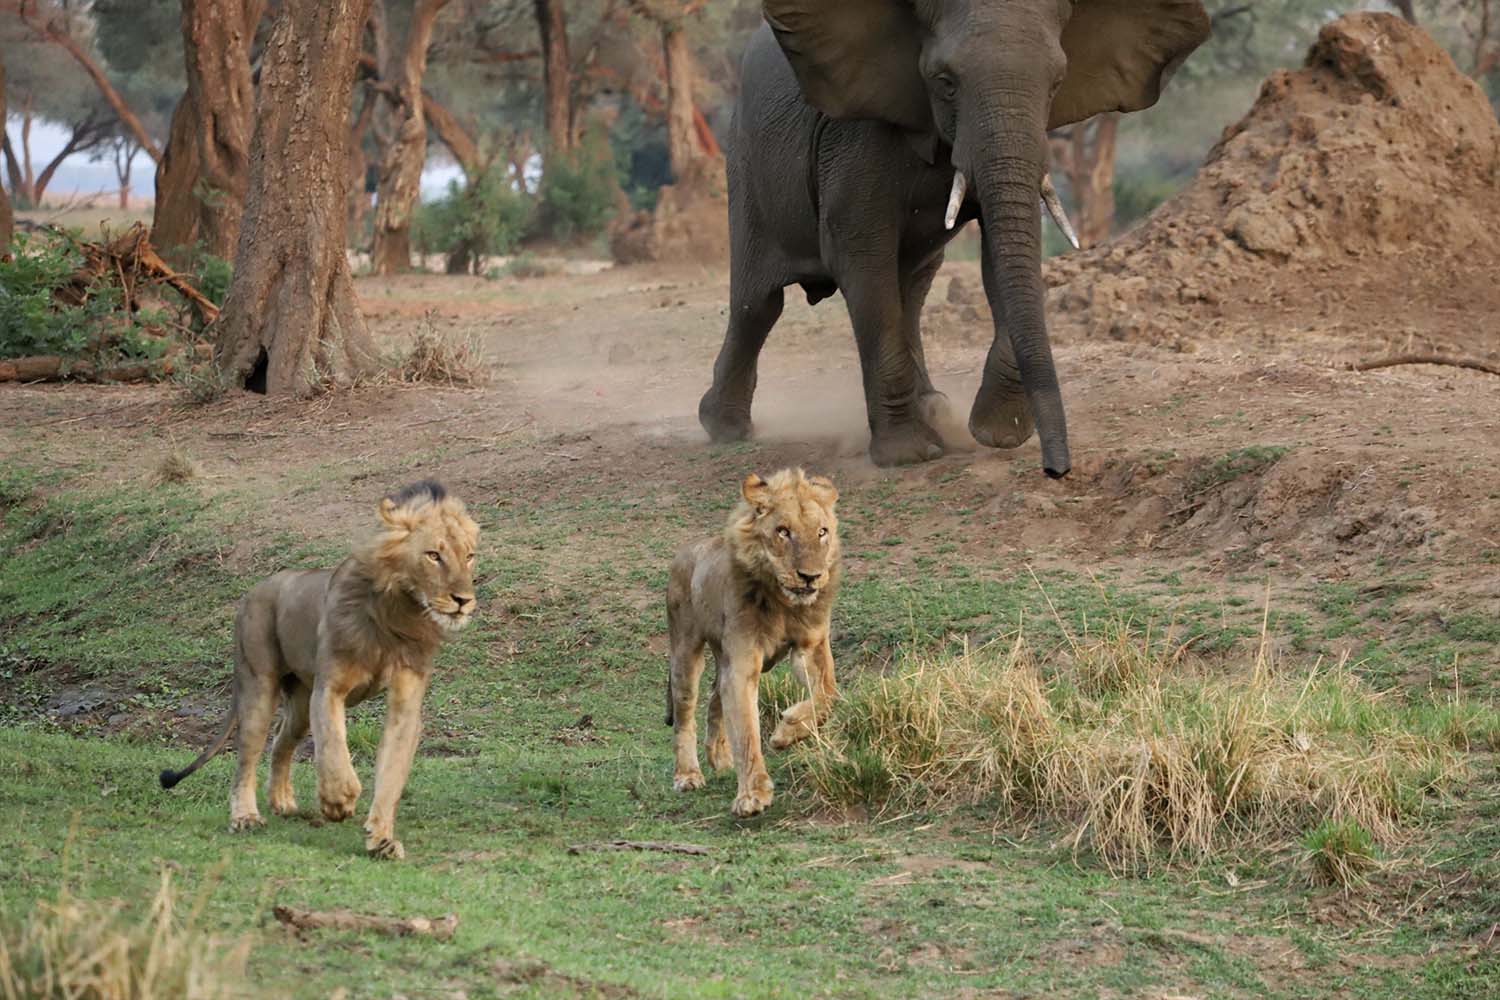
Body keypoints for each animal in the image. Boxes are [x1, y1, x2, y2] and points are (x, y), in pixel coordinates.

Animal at [697, 0, 1211, 477]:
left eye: (1057, 83)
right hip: (745, 167)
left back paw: (935, 408)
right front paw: (909, 455)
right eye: (945, 81)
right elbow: (858, 253)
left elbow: (999, 256)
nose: (1057, 469)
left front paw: (996, 433)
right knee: (759, 304)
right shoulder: (853, 136)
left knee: (912, 287)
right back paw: (723, 427)